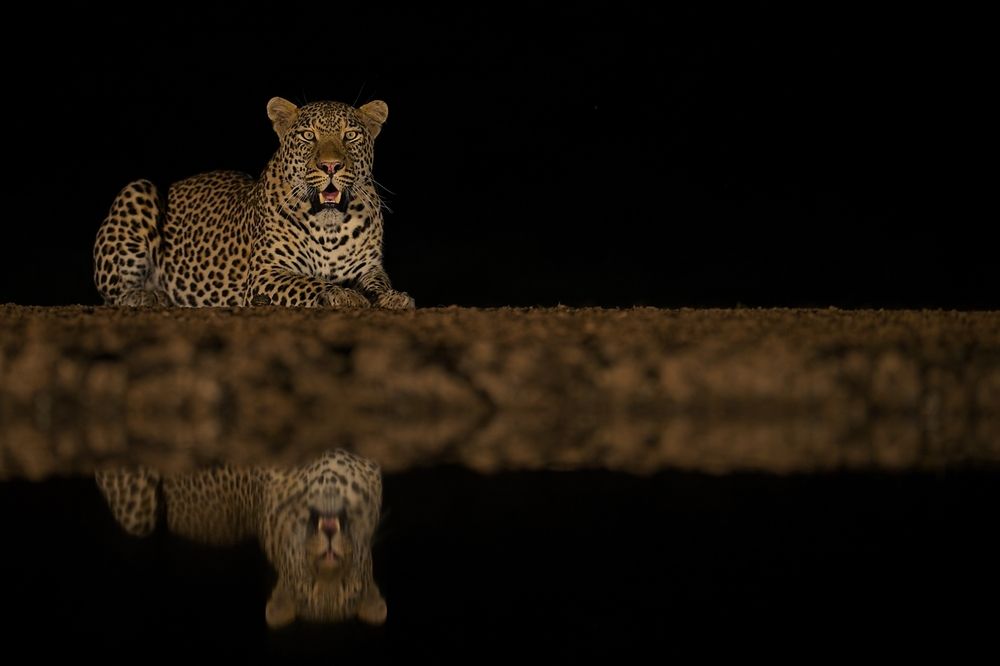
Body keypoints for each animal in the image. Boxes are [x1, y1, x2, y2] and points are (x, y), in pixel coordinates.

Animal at [93, 97, 414, 309]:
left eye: (351, 135)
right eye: (308, 135)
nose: (331, 166)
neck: (329, 225)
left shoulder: (368, 267)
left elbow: (378, 282)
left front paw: (393, 296)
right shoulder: (265, 273)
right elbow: (307, 282)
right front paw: (341, 294)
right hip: (138, 190)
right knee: (112, 293)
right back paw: (147, 296)